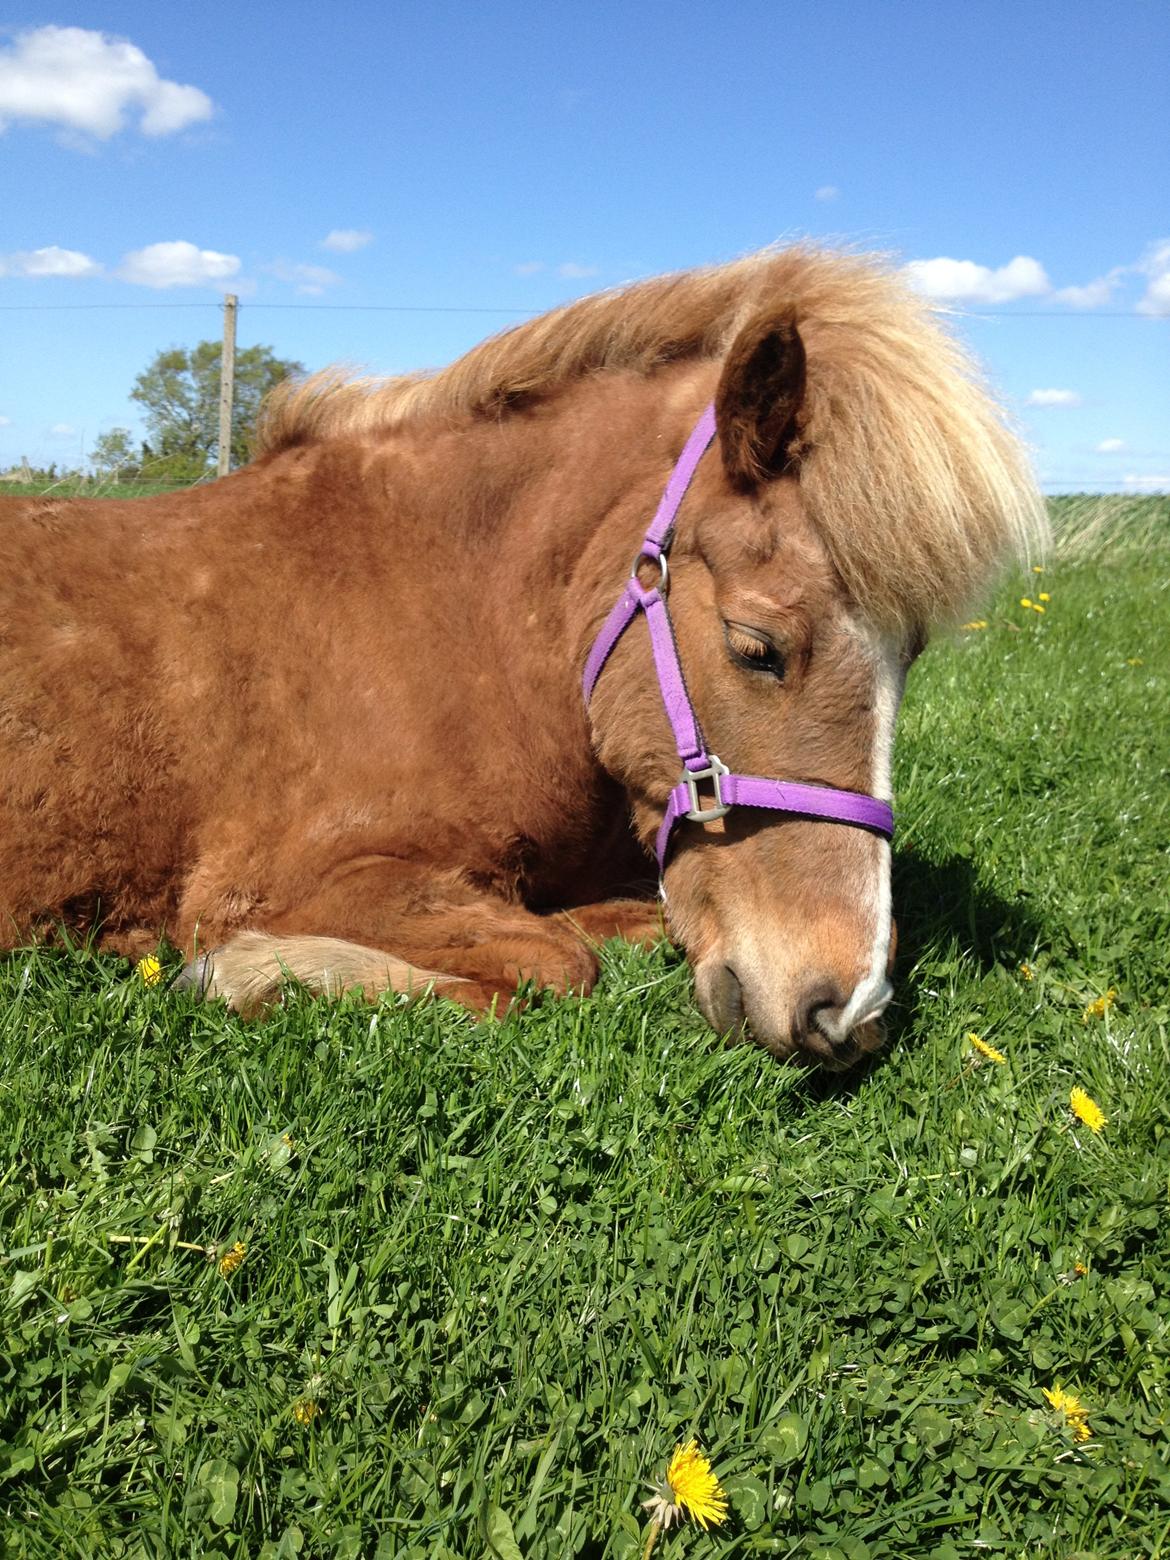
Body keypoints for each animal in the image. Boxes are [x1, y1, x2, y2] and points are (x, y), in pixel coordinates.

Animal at [0, 249, 1042, 1067]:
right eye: (758, 648)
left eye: (912, 658)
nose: (848, 1013)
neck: (458, 619)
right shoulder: (293, 881)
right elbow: (558, 962)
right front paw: (250, 972)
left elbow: (608, 925)